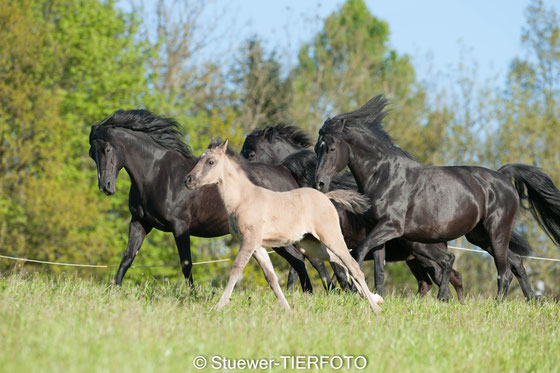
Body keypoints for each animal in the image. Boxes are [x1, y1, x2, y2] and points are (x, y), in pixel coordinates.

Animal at [88, 108, 332, 290]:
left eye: (107, 149)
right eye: (92, 153)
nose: (105, 186)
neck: (157, 173)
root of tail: (284, 169)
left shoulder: (180, 226)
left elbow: (186, 264)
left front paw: (192, 296)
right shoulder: (140, 223)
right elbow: (127, 258)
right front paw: (114, 290)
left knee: (311, 260)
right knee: (301, 261)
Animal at [186, 141, 382, 312]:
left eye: (210, 162)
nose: (188, 180)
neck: (243, 199)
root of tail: (327, 197)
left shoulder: (249, 241)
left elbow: (236, 269)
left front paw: (218, 306)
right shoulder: (258, 246)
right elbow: (271, 277)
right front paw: (287, 309)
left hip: (330, 236)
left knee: (352, 265)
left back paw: (375, 308)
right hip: (308, 245)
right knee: (339, 261)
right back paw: (372, 298)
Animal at [241, 123, 464, 300]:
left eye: (250, 153)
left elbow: (332, 270)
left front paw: (347, 292)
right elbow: (301, 267)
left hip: (422, 252)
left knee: (448, 275)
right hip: (414, 259)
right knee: (431, 281)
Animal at [316, 95, 560, 300]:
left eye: (331, 148)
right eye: (317, 148)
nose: (319, 183)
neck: (384, 175)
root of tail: (502, 177)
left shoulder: (391, 227)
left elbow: (357, 252)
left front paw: (354, 290)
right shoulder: (378, 231)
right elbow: (378, 268)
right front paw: (375, 296)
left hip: (497, 231)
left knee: (503, 270)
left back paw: (497, 304)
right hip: (479, 236)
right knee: (515, 261)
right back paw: (531, 299)